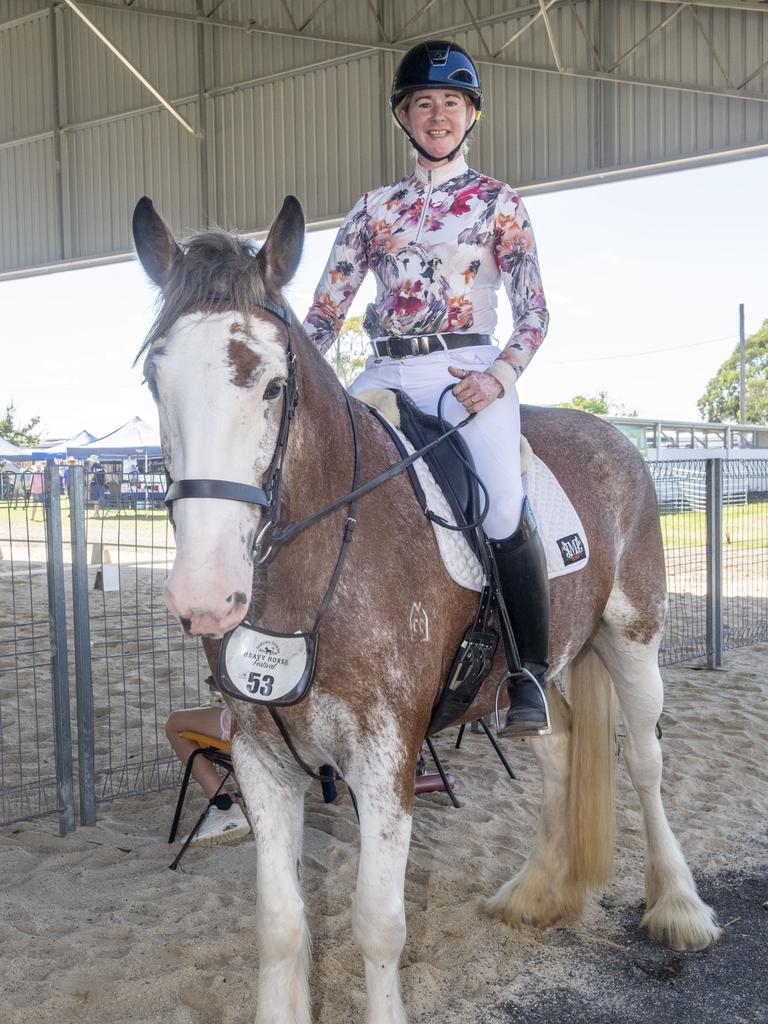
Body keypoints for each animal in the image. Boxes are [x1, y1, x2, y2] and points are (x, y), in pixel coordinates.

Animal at [134, 193, 720, 1024]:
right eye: (157, 380)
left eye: (272, 385)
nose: (205, 594)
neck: (322, 565)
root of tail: (614, 437)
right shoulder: (261, 758)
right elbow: (280, 925)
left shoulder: (386, 760)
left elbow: (379, 923)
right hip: (528, 681)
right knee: (560, 747)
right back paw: (538, 893)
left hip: (633, 636)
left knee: (644, 759)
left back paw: (678, 907)